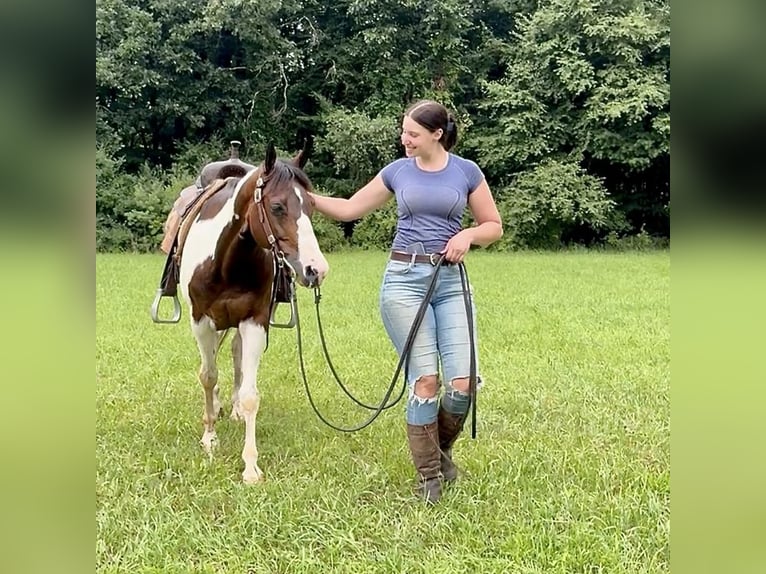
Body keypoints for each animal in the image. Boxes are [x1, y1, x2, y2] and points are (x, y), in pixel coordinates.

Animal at [179, 142, 330, 484]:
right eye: (277, 207)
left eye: (311, 206)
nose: (316, 269)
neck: (225, 260)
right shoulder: (201, 322)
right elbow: (207, 375)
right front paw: (209, 438)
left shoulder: (254, 322)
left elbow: (250, 393)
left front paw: (250, 466)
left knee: (235, 354)